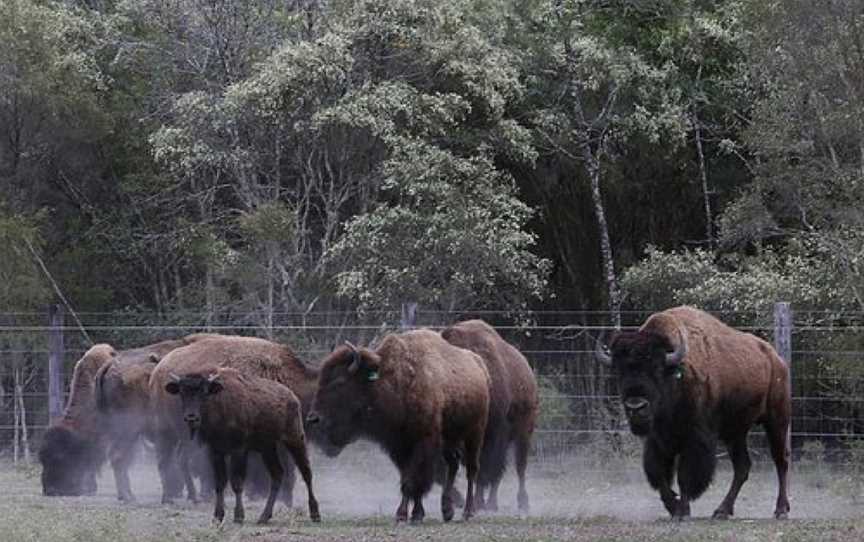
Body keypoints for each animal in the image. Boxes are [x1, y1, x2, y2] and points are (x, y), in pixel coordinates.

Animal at [150, 334, 322, 508]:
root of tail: (159, 369)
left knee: (173, 459)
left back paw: (183, 496)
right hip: (173, 432)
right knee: (170, 459)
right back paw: (179, 497)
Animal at [165, 368, 320, 524]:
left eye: (204, 392)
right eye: (182, 392)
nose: (191, 417)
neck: (219, 402)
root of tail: (292, 397)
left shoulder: (238, 450)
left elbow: (237, 482)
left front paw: (238, 516)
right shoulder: (215, 452)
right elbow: (220, 483)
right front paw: (217, 516)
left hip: (295, 439)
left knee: (306, 473)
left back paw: (315, 514)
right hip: (268, 448)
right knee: (277, 474)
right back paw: (264, 516)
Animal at [308, 330, 490, 524]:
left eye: (339, 382)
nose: (313, 418)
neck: (394, 381)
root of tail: (479, 365)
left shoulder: (423, 442)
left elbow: (415, 479)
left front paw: (411, 514)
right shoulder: (398, 445)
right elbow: (406, 477)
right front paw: (407, 513)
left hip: (475, 433)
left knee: (472, 469)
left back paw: (468, 512)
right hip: (450, 438)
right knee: (453, 463)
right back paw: (447, 510)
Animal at [442, 320, 536, 516]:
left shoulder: (490, 435)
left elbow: (486, 468)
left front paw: (478, 502)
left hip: (524, 432)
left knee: (519, 466)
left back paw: (520, 502)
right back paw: (492, 502)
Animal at [592, 308, 788, 520]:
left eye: (657, 369)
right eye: (619, 371)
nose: (636, 407)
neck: (677, 376)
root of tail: (776, 359)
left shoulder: (693, 438)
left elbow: (685, 475)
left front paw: (682, 512)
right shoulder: (657, 439)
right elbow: (659, 474)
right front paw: (673, 506)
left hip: (777, 421)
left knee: (781, 461)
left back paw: (781, 510)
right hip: (735, 432)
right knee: (742, 467)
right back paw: (722, 511)